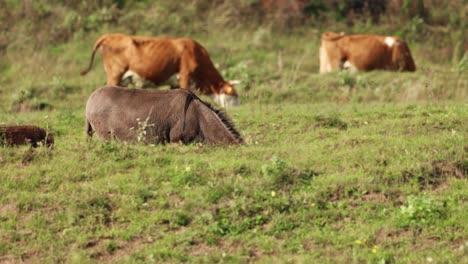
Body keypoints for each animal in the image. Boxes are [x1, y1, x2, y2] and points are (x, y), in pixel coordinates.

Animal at [80, 33, 239, 107]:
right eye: (233, 94)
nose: (238, 107)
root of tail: (110, 35)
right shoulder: (185, 76)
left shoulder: (175, 83)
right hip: (115, 74)